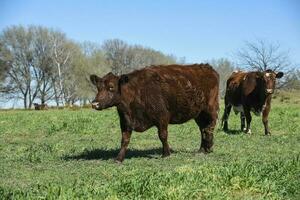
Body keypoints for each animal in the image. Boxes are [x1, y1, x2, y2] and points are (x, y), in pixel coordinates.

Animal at [90, 64, 219, 162]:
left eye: (111, 87)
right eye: (98, 88)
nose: (94, 103)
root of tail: (206, 67)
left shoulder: (162, 117)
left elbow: (163, 136)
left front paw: (166, 153)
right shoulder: (125, 122)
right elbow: (124, 140)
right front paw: (119, 158)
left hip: (211, 109)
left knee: (209, 127)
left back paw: (208, 147)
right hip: (199, 114)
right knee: (203, 129)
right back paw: (202, 149)